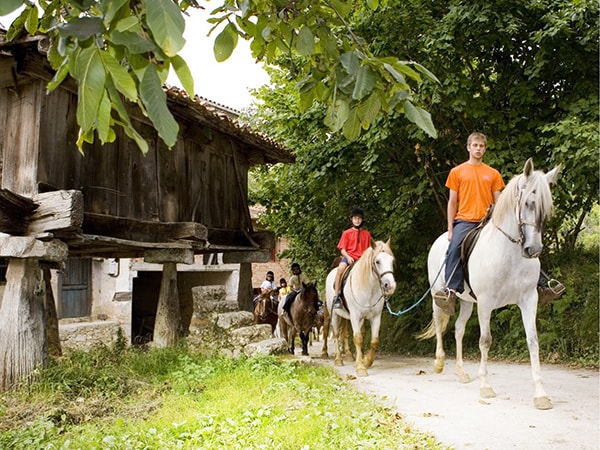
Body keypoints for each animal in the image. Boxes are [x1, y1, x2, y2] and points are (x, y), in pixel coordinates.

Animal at [326, 239, 396, 376]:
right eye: (377, 261)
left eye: (392, 261)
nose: (390, 286)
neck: (369, 287)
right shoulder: (355, 316)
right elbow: (357, 338)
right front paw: (360, 367)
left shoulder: (375, 317)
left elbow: (374, 340)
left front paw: (367, 361)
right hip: (335, 315)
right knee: (336, 335)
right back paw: (338, 360)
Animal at [420, 159, 560, 412]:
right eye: (528, 203)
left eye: (546, 209)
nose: (533, 250)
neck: (509, 253)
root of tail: (440, 239)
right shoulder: (486, 303)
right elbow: (485, 341)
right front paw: (485, 386)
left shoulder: (529, 300)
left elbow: (533, 341)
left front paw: (540, 395)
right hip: (438, 296)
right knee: (438, 323)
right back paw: (439, 362)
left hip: (466, 301)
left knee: (458, 329)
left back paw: (462, 372)